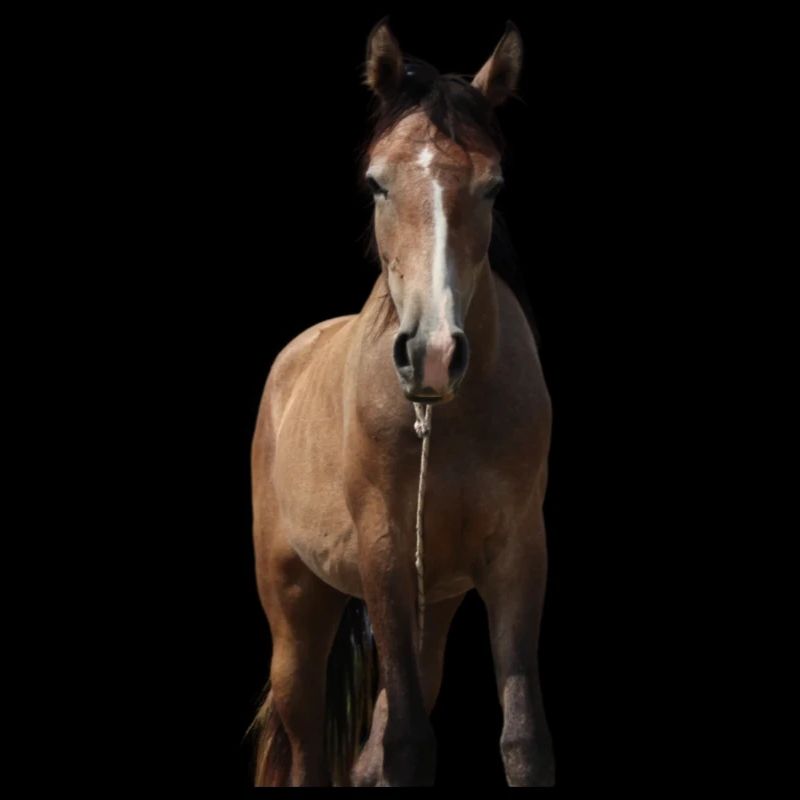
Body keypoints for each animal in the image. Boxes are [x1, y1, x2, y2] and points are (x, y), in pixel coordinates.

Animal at [249, 20, 555, 786]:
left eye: (494, 186)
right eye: (375, 182)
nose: (434, 352)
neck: (448, 420)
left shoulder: (517, 556)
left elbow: (522, 739)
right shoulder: (382, 554)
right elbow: (410, 744)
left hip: (434, 606)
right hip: (296, 609)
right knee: (307, 748)